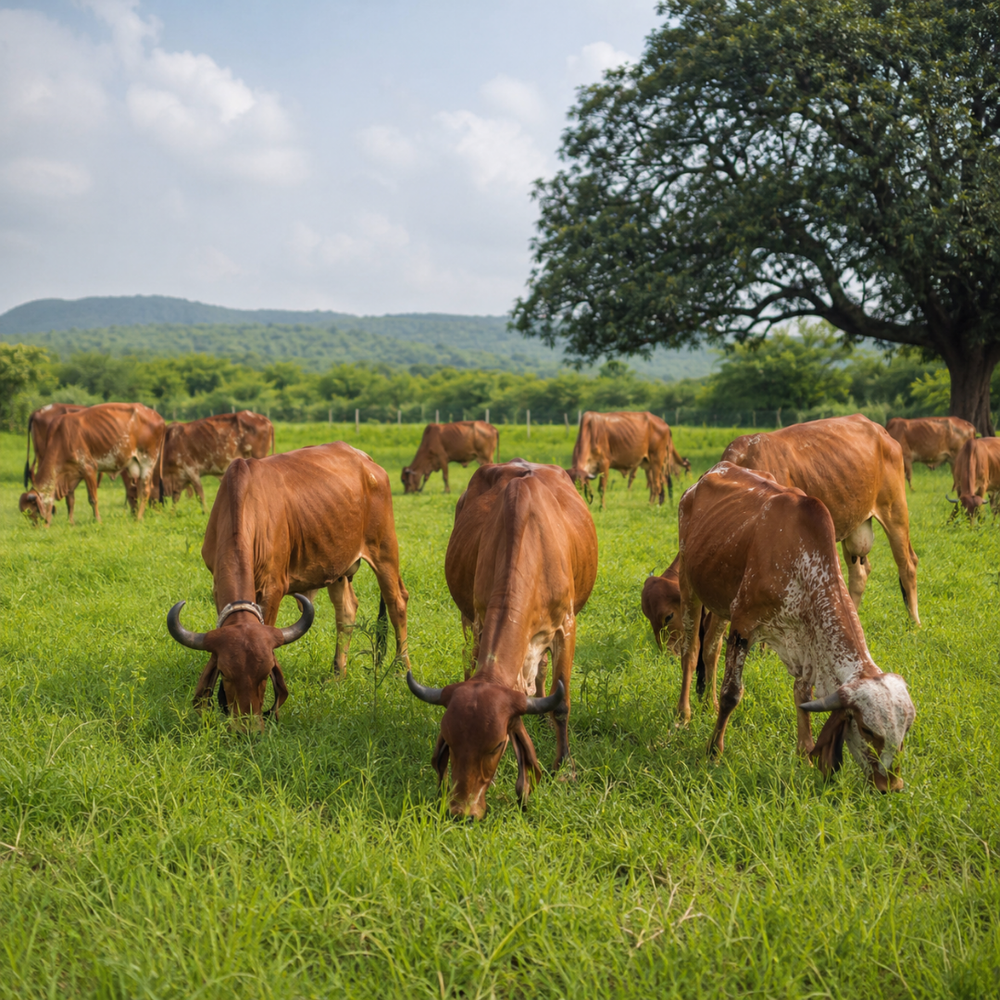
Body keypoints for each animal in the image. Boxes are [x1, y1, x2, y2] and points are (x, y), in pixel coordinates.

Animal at [19, 403, 165, 525]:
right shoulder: (71, 474)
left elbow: (92, 499)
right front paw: (70, 522)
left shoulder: (89, 469)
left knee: (145, 491)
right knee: (141, 490)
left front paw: (98, 520)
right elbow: (70, 499)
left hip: (147, 462)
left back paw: (139, 518)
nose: (37, 527)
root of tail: (159, 418)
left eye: (30, 510)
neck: (61, 437)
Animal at [166, 442, 410, 727]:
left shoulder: (273, 587)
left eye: (266, 674)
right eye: (225, 674)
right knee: (347, 610)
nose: (248, 726)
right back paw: (338, 673)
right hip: (337, 566)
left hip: (384, 549)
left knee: (397, 602)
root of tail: (365, 459)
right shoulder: (217, 584)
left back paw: (400, 668)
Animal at [406, 460, 598, 819]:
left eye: (497, 744)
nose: (461, 811)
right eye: (449, 741)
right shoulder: (480, 620)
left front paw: (563, 766)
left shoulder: (566, 626)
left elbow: (561, 704)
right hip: (467, 619)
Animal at [677, 462, 916, 792]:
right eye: (868, 730)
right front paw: (713, 752)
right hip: (689, 585)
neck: (803, 561)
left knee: (711, 648)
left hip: (721, 599)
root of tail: (711, 472)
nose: (891, 785)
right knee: (691, 652)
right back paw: (684, 714)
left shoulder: (805, 640)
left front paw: (805, 755)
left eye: (905, 731)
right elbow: (732, 694)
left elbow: (802, 696)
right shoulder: (743, 626)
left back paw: (708, 706)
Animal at [721, 414, 920, 624]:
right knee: (859, 572)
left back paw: (915, 622)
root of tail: (880, 429)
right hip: (852, 520)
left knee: (908, 564)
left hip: (895, 510)